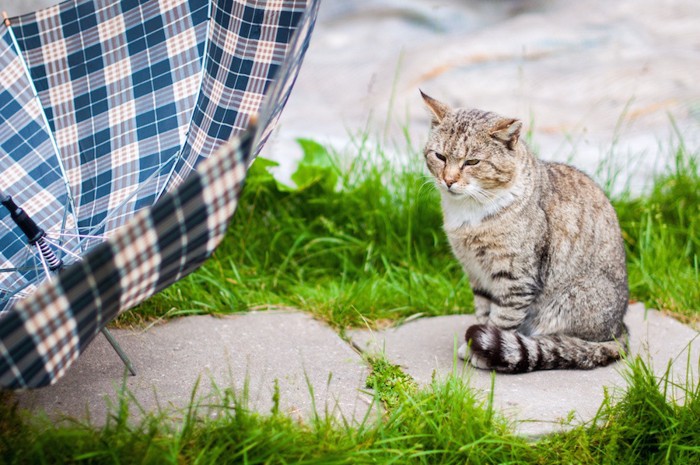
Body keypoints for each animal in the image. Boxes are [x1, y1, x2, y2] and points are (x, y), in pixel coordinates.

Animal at [422, 92, 628, 372]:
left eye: (472, 162)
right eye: (440, 156)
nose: (449, 180)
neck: (469, 212)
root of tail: (619, 329)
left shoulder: (516, 278)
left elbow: (502, 318)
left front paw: (481, 352)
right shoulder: (476, 273)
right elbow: (484, 311)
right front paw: (475, 344)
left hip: (571, 301)